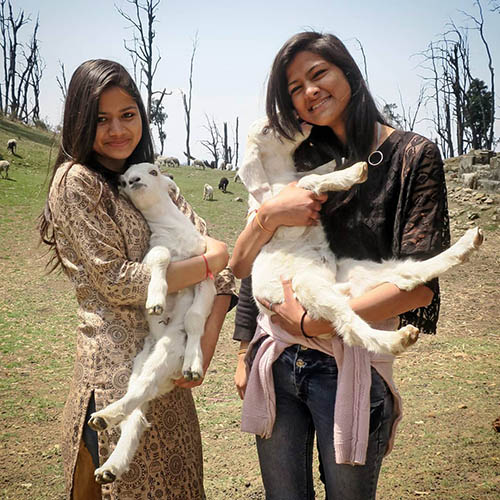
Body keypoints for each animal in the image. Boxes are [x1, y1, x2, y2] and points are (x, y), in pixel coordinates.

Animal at [88, 162, 216, 484]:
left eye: (154, 171)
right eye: (121, 181)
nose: (132, 180)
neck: (174, 231)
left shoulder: (205, 274)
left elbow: (195, 318)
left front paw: (194, 364)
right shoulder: (152, 254)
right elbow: (161, 255)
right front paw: (155, 301)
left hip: (165, 353)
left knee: (136, 411)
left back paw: (111, 464)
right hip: (147, 363)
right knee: (136, 399)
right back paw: (105, 421)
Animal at [239, 118, 483, 355]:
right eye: (266, 129)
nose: (298, 121)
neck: (279, 176)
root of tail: (341, 288)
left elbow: (308, 175)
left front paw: (337, 165)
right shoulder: (285, 219)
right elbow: (306, 181)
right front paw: (352, 172)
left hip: (358, 273)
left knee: (408, 273)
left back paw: (468, 244)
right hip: (306, 286)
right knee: (349, 326)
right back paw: (397, 340)